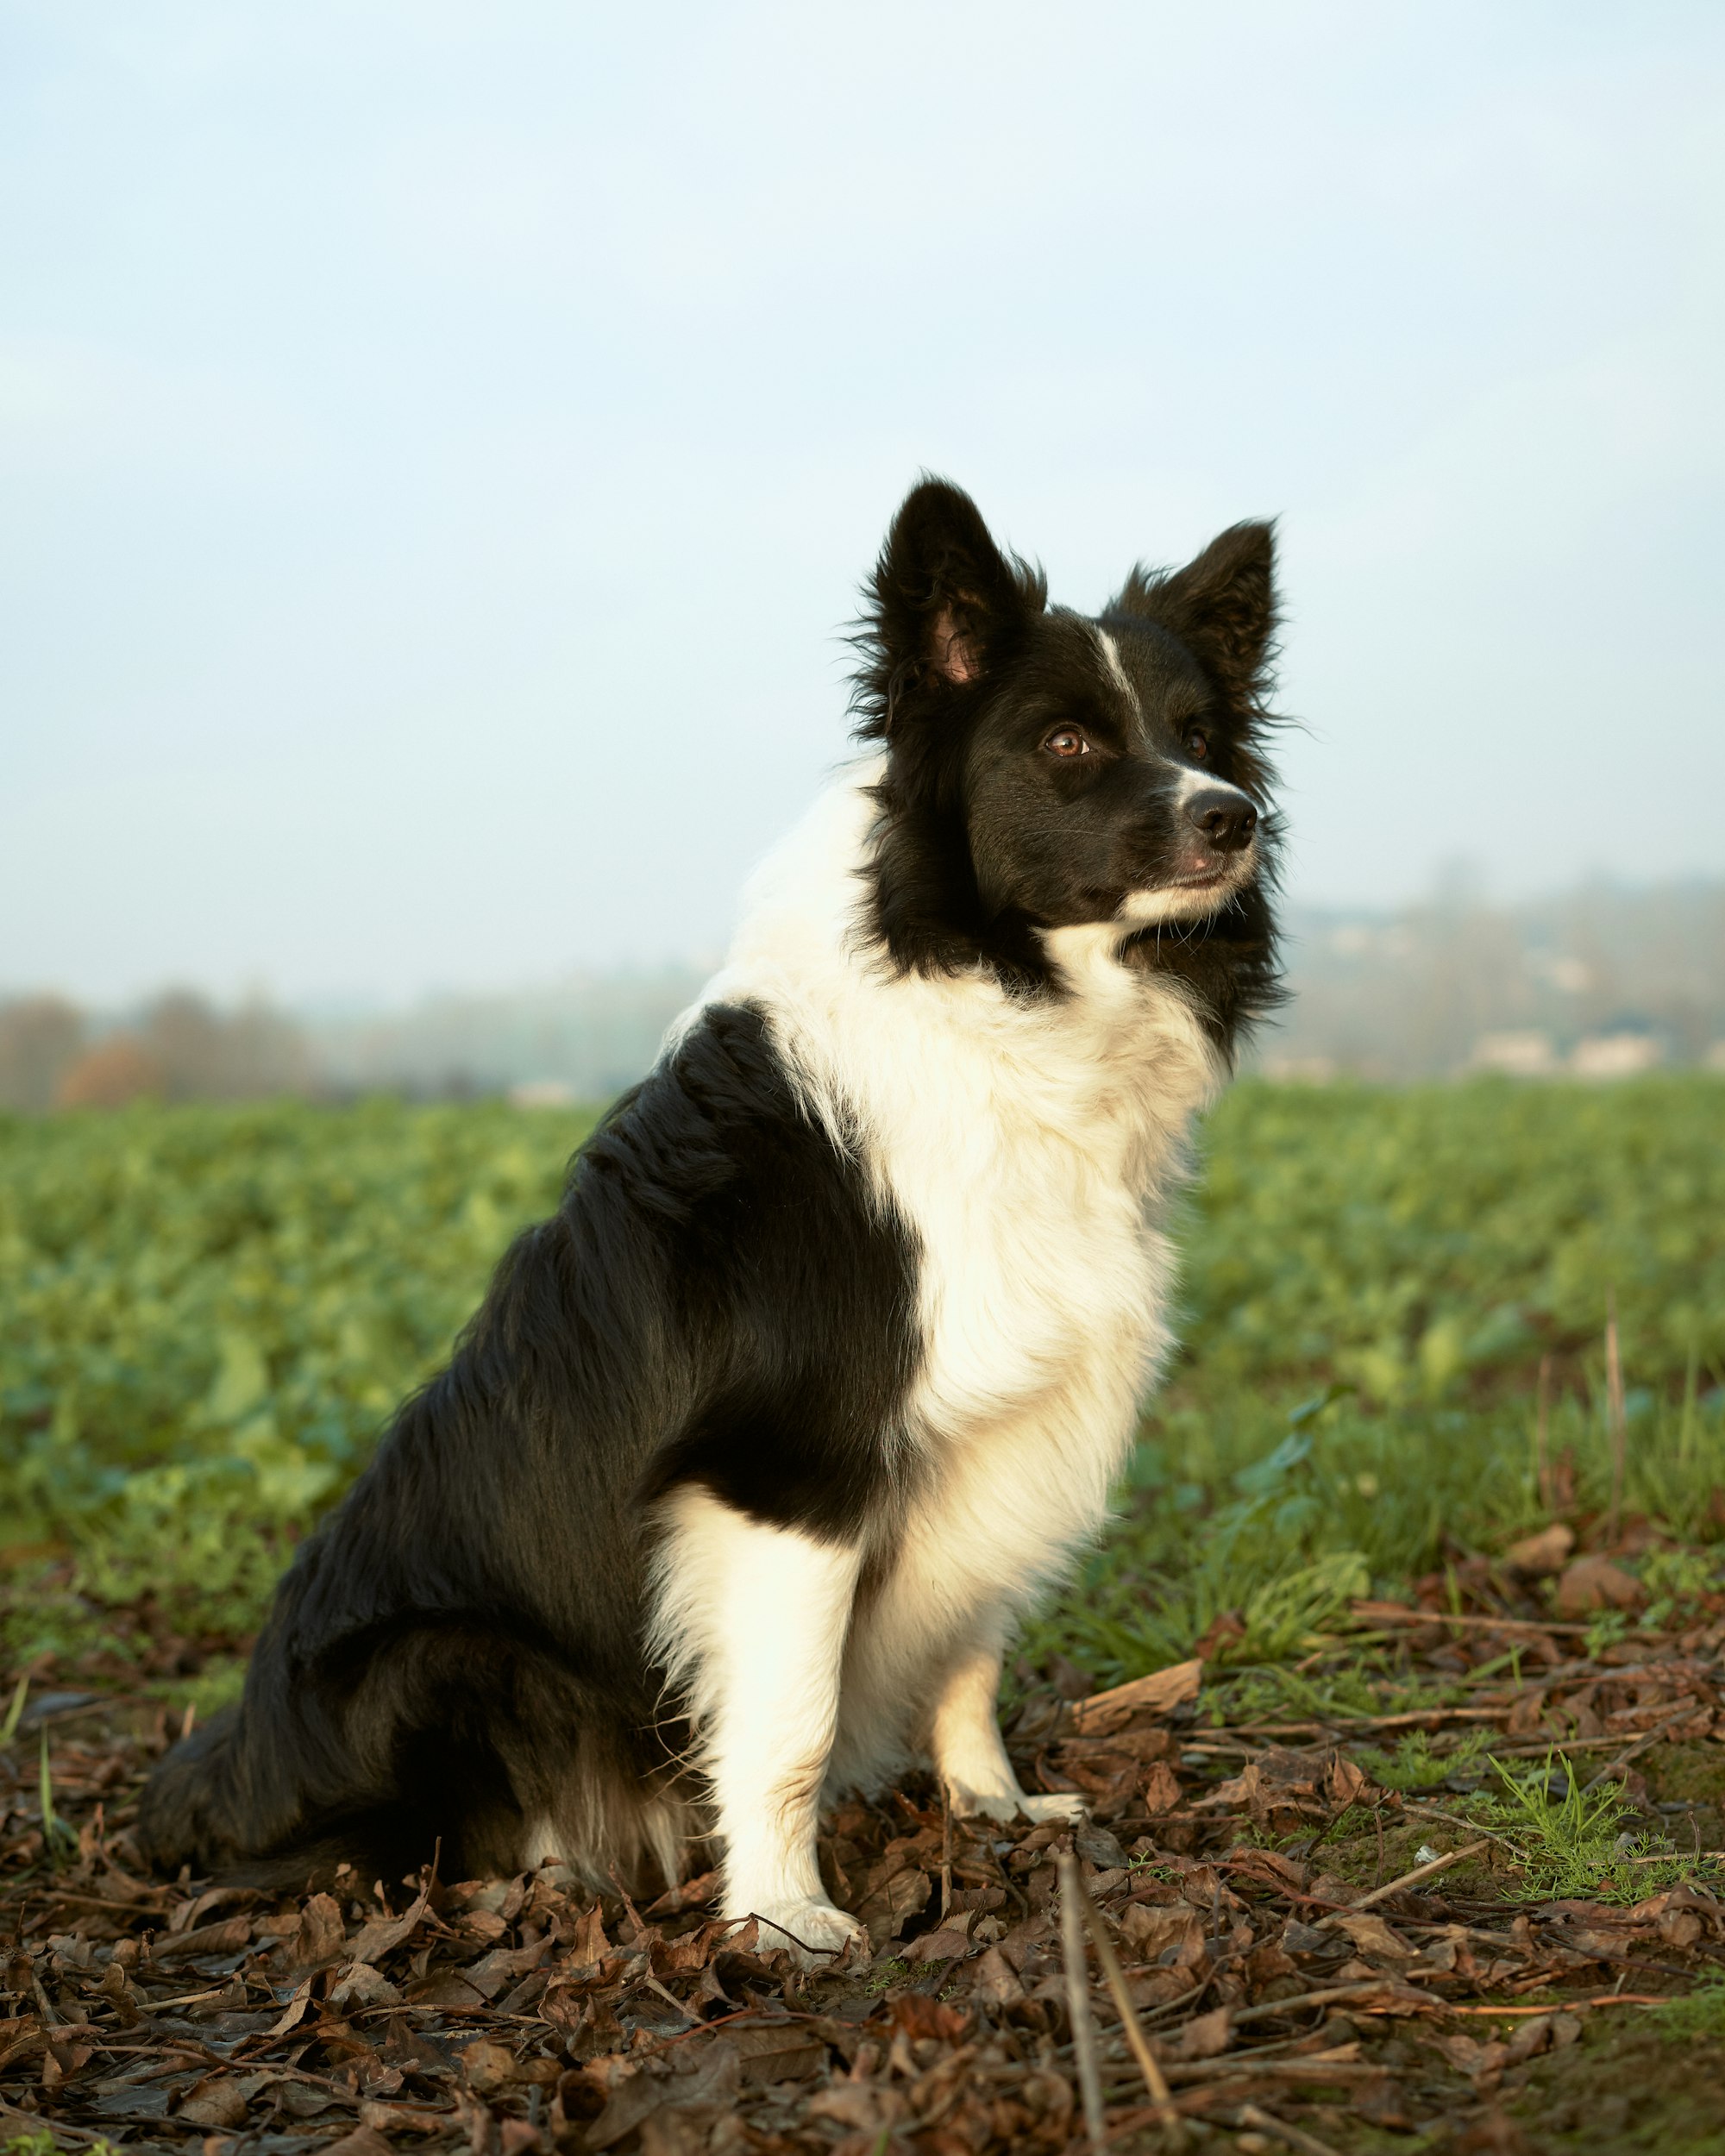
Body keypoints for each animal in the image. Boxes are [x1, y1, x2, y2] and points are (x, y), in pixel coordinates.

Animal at [141, 480, 1276, 1966]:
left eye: (1200, 734)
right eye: (1071, 742)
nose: (1233, 817)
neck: (995, 1001)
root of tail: (216, 1769)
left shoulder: (1010, 1431)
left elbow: (969, 1654)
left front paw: (990, 1807)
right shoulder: (781, 1475)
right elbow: (788, 1723)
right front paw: (785, 1916)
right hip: (444, 1659)